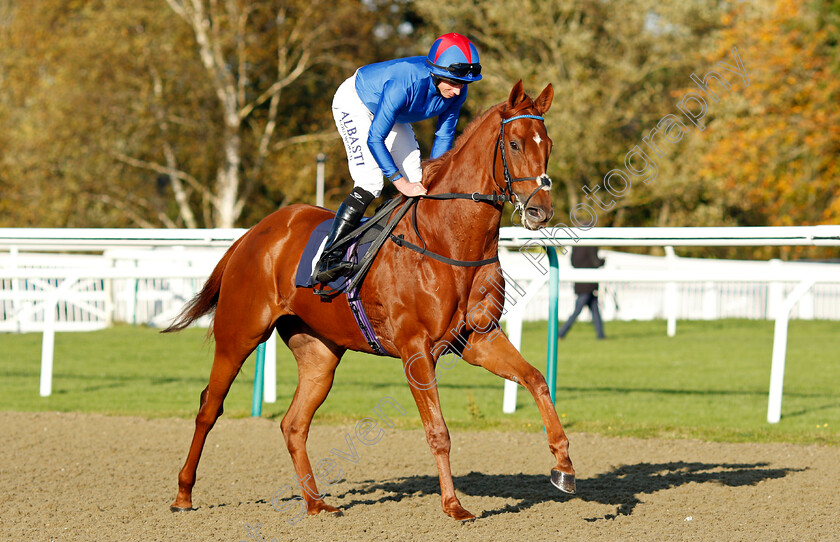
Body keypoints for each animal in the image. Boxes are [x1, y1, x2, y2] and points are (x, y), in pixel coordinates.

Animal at [162, 81, 576, 524]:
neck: (447, 241)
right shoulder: (416, 349)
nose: (540, 211)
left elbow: (536, 379)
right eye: (514, 143)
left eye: (548, 143)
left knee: (293, 424)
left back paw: (316, 503)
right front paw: (453, 506)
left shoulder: (478, 339)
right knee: (209, 407)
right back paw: (183, 494)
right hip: (239, 334)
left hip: (320, 354)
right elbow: (438, 431)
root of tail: (255, 232)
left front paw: (563, 466)